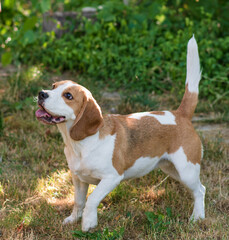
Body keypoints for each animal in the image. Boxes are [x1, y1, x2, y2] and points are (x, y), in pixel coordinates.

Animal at [35, 36, 206, 232]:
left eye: (68, 96)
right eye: (53, 86)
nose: (41, 93)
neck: (82, 143)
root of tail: (180, 114)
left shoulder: (112, 178)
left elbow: (91, 200)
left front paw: (88, 224)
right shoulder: (79, 179)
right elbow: (78, 201)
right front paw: (73, 219)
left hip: (187, 170)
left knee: (200, 191)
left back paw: (197, 217)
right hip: (171, 168)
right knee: (201, 188)